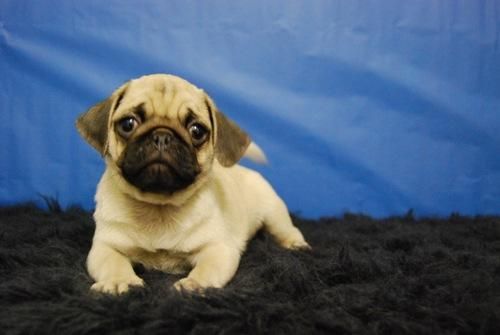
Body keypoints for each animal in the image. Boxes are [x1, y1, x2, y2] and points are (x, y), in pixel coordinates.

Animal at [75, 74, 308, 294]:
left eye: (196, 131)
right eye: (128, 124)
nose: (162, 136)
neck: (158, 208)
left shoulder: (218, 249)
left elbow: (206, 268)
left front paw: (194, 284)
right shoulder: (105, 247)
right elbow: (113, 263)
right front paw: (118, 281)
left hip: (274, 213)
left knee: (287, 229)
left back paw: (295, 244)